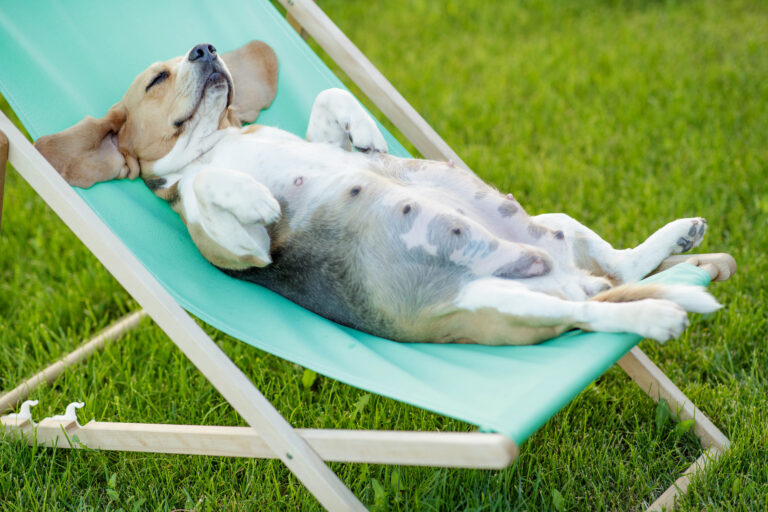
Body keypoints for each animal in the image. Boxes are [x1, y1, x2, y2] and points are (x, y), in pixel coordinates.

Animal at [33, 40, 724, 344]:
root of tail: (569, 279)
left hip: (557, 226)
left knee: (620, 266)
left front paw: (364, 132)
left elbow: (327, 100)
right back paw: (656, 314)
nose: (205, 47)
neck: (216, 141)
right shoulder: (237, 247)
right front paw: (256, 196)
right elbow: (208, 188)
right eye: (157, 79)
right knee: (593, 311)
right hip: (499, 301)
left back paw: (676, 241)